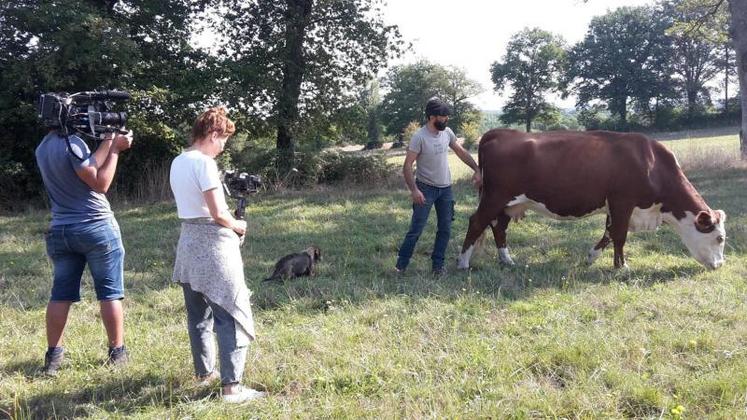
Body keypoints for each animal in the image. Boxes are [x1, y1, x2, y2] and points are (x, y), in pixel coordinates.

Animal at [458, 128, 728, 270]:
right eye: (720, 238)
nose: (720, 265)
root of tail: (499, 132)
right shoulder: (623, 201)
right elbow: (619, 235)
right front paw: (622, 267)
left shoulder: (615, 206)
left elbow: (608, 233)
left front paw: (592, 257)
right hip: (495, 197)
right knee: (476, 222)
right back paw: (463, 263)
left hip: (508, 204)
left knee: (498, 228)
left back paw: (507, 260)